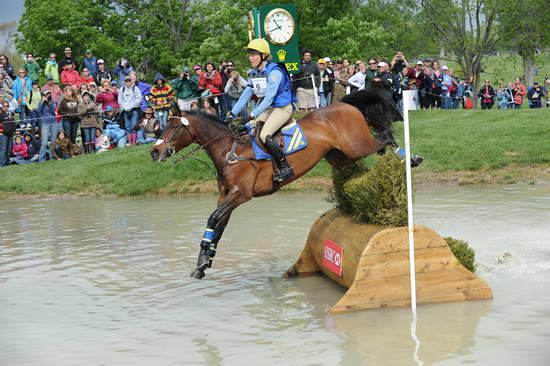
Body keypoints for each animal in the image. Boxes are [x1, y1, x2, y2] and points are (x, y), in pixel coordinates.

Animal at [151, 88, 402, 278]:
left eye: (174, 127)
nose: (154, 152)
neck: (229, 151)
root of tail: (343, 104)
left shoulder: (240, 194)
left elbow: (213, 218)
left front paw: (203, 258)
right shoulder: (226, 196)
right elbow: (218, 225)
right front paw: (204, 261)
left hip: (357, 146)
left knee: (385, 136)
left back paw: (403, 159)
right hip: (341, 156)